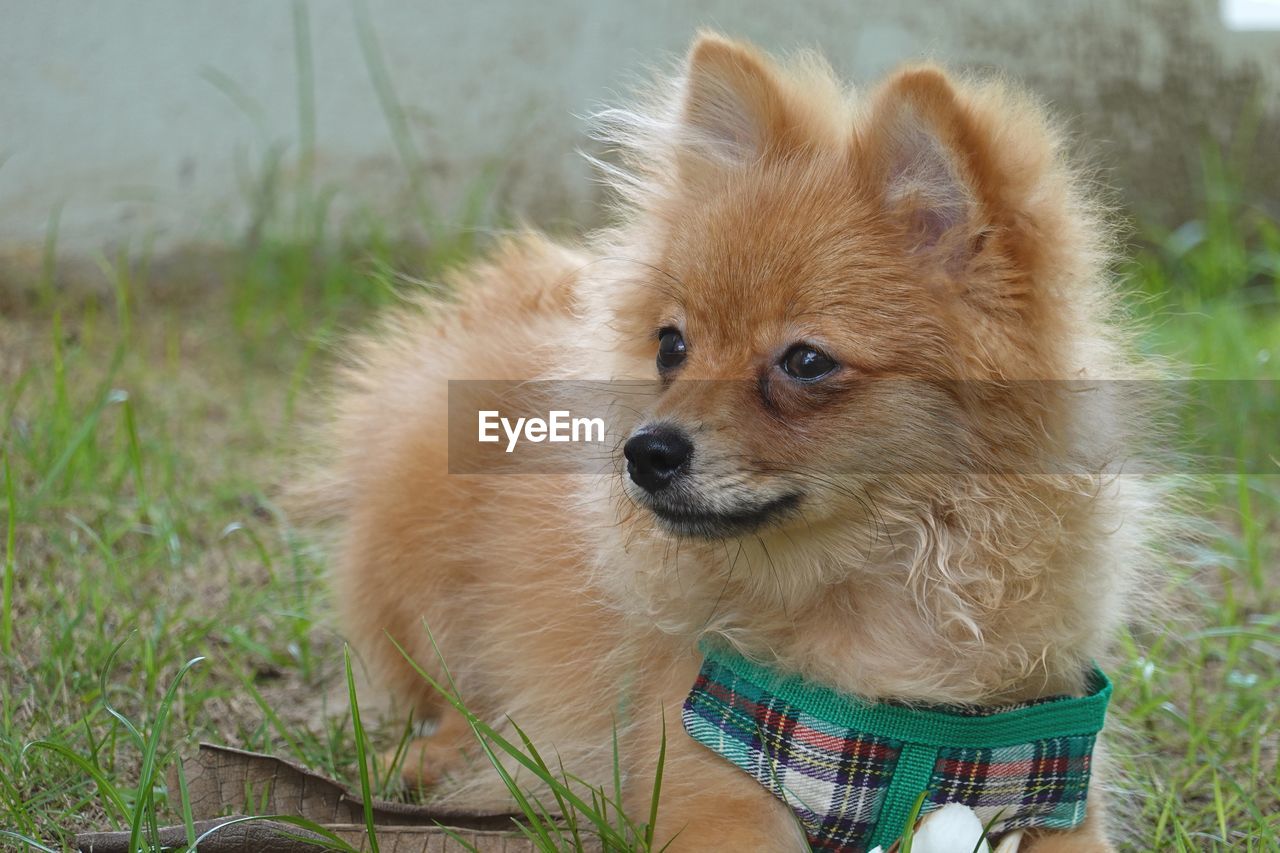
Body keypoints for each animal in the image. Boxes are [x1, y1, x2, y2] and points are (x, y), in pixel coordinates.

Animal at [314, 29, 1157, 845]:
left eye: (805, 361)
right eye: (671, 347)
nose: (644, 450)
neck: (878, 601)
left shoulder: (1048, 782)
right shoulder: (710, 779)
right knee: (450, 695)